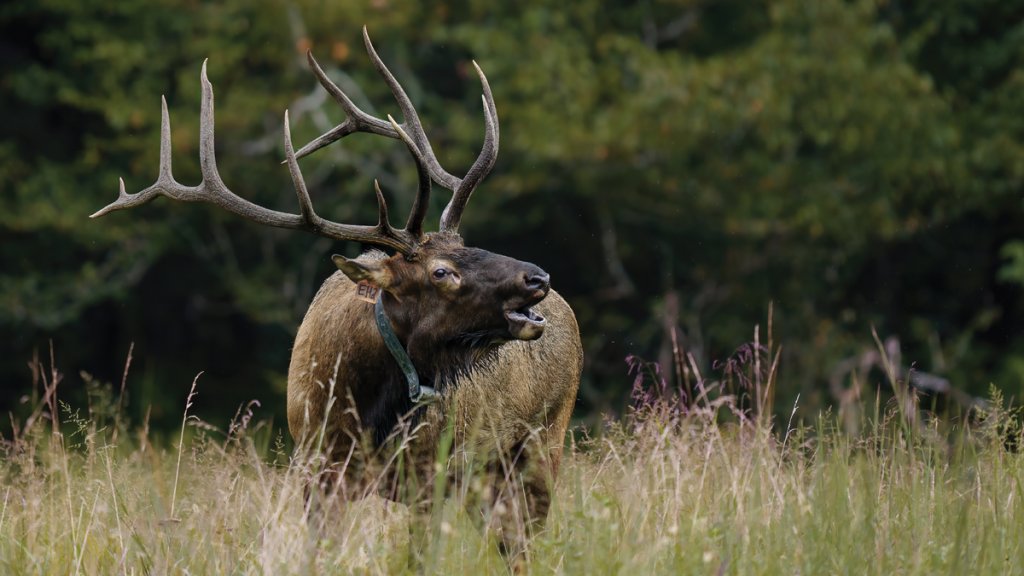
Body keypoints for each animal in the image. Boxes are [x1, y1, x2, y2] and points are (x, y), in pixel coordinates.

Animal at [94, 29, 585, 557]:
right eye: (441, 271)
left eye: (467, 244)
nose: (537, 278)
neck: (366, 407)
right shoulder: (318, 467)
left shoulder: (432, 473)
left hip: (541, 444)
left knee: (523, 543)